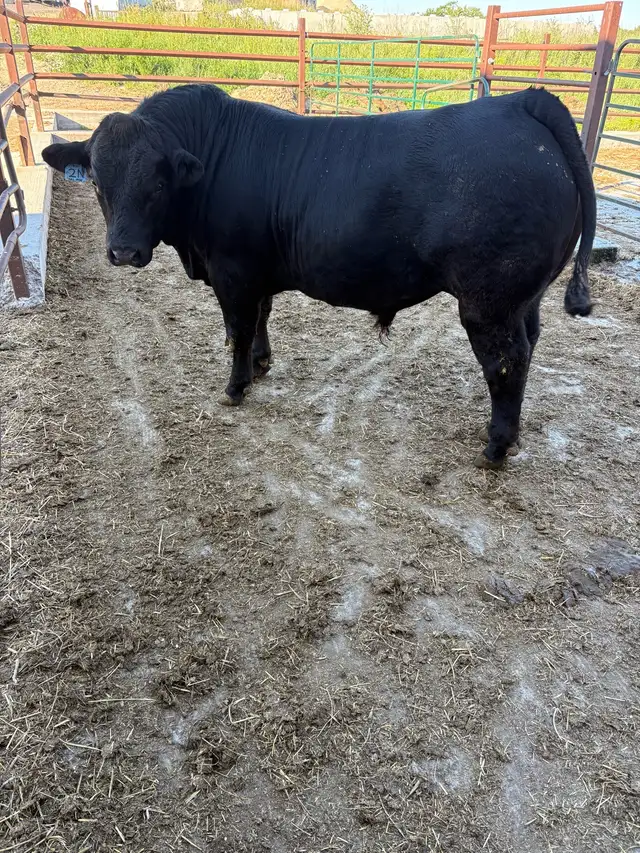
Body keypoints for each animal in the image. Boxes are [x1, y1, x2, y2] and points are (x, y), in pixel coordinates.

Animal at [42, 83, 596, 469]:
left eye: (157, 183)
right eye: (97, 180)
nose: (123, 251)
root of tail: (522, 101)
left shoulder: (232, 271)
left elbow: (237, 328)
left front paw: (236, 386)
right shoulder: (257, 271)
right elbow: (261, 317)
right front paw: (262, 363)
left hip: (488, 301)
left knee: (506, 361)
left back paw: (496, 446)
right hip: (525, 297)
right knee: (530, 344)